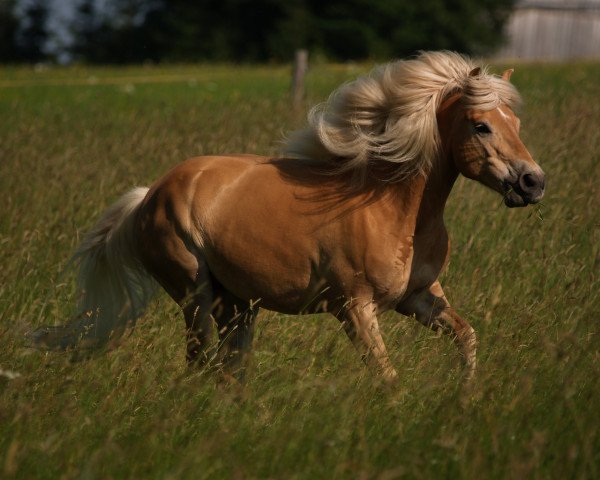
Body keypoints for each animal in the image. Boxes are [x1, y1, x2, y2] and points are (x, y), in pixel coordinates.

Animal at [31, 51, 548, 382]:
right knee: (199, 367)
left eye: (517, 124)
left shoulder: (418, 298)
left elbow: (467, 339)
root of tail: (149, 195)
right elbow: (388, 379)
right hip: (195, 298)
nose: (533, 182)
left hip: (238, 306)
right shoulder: (353, 309)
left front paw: (465, 401)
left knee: (227, 373)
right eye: (481, 126)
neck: (393, 211)